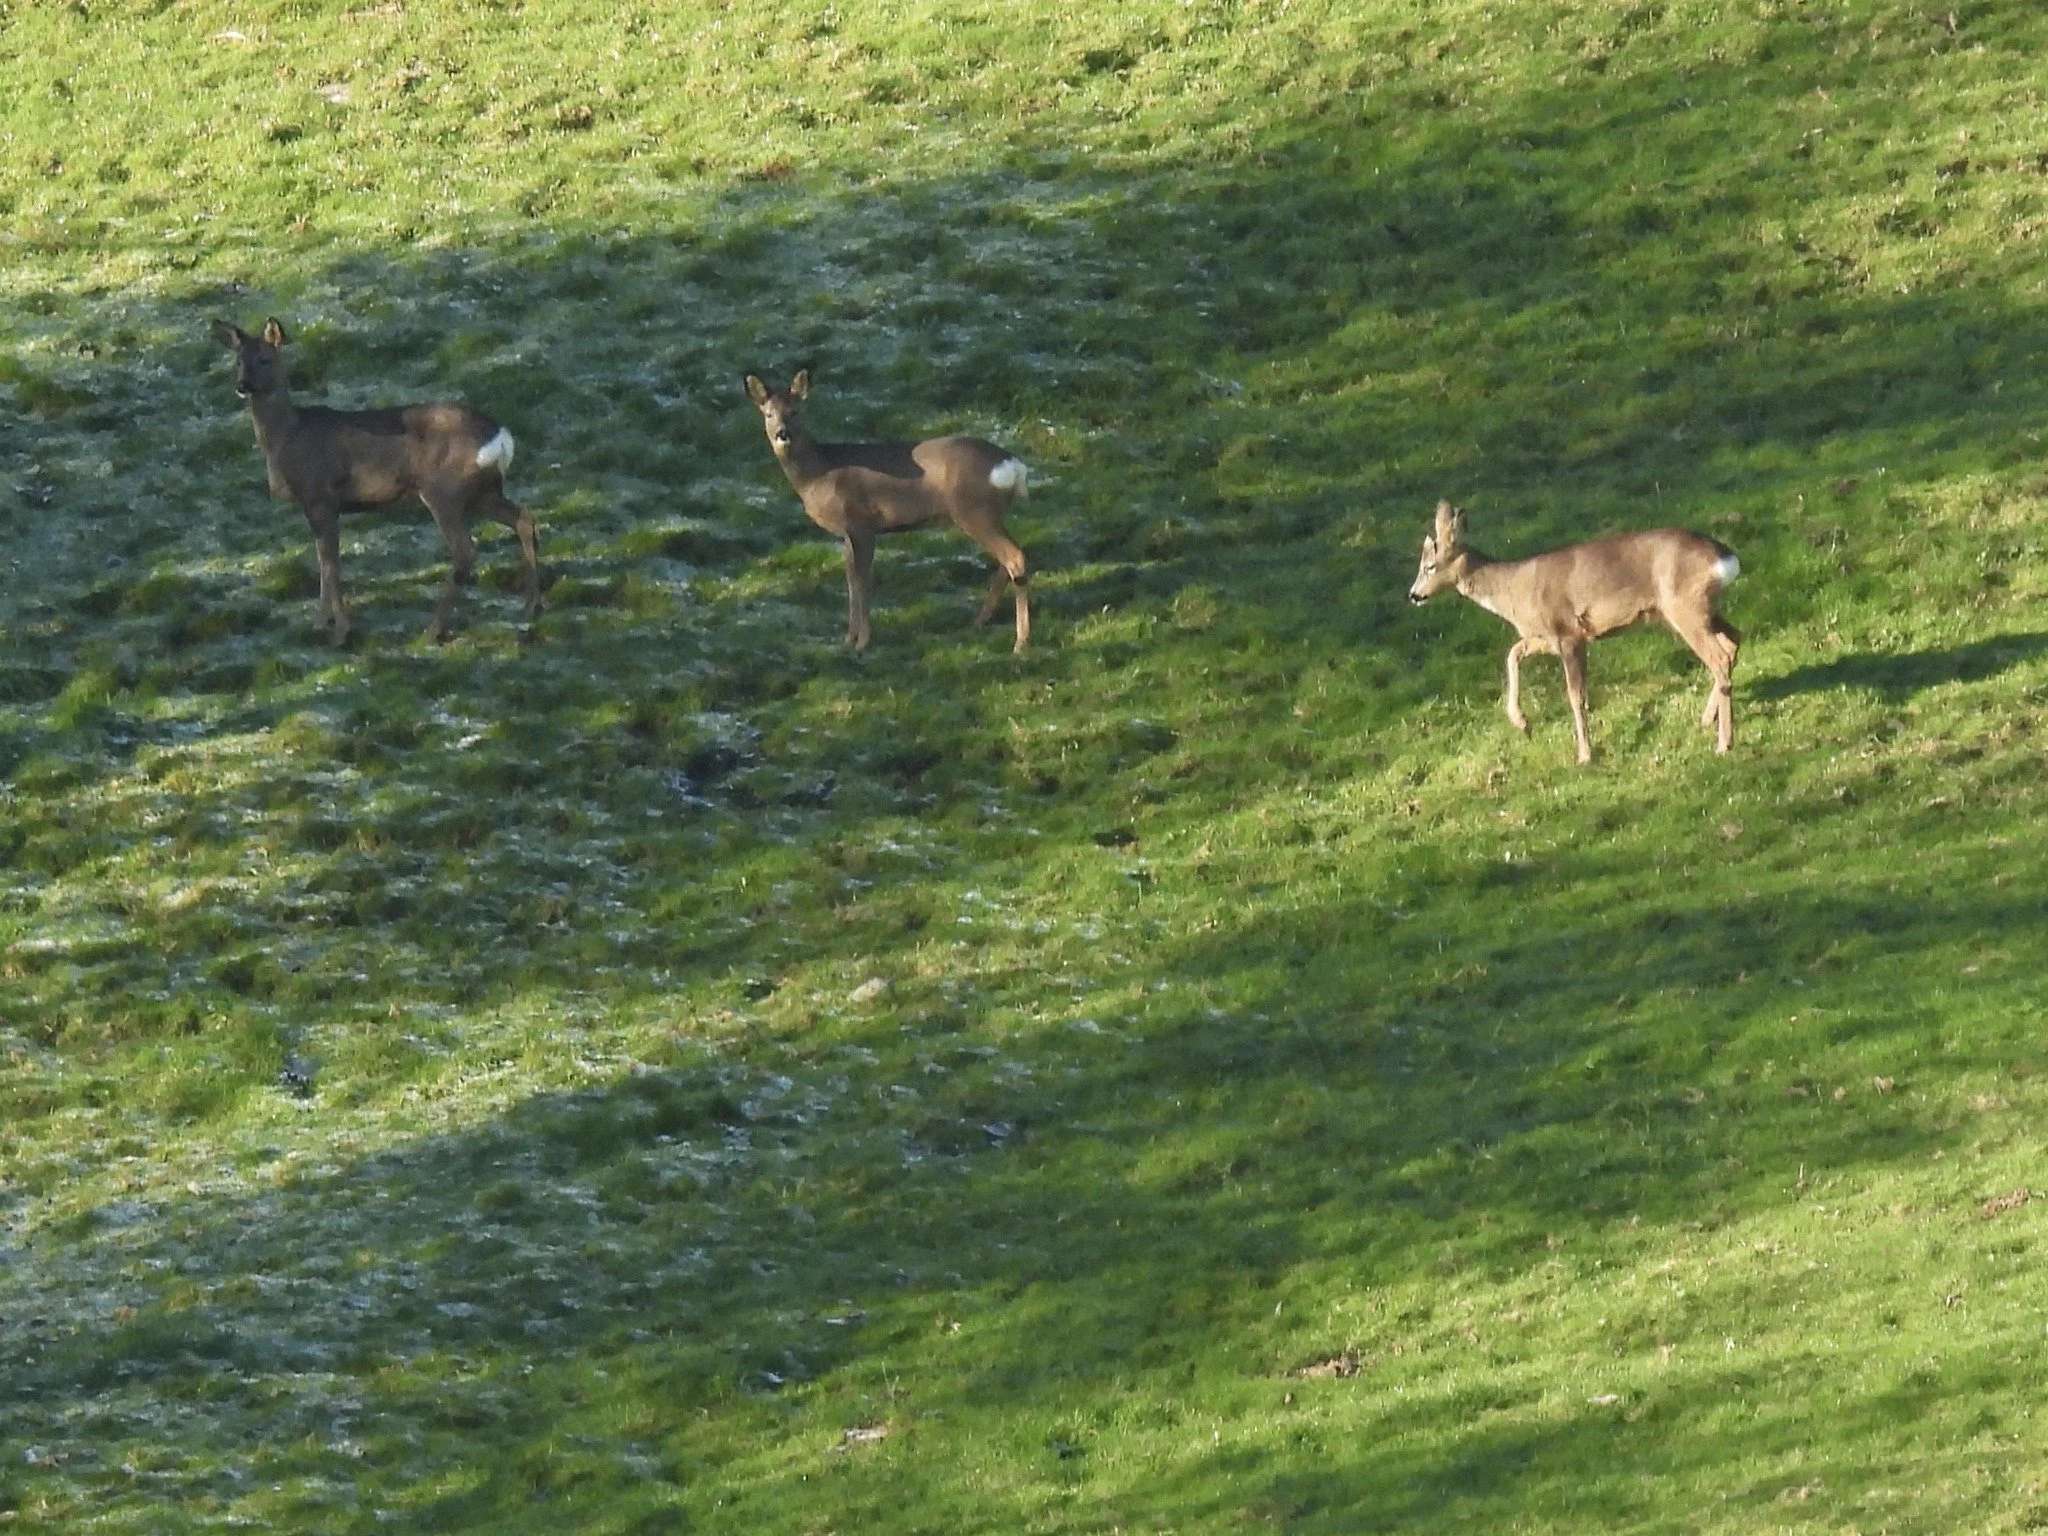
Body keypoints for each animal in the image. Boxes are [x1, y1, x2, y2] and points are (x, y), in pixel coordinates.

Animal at [211, 317, 541, 646]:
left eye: (265, 359)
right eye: (238, 361)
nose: (242, 386)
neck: (286, 438)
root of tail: (500, 436)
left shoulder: (320, 495)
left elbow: (330, 564)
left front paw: (340, 632)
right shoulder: (319, 505)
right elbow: (322, 562)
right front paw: (320, 624)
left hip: (443, 489)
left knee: (465, 550)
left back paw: (434, 628)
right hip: (484, 491)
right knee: (524, 519)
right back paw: (531, 608)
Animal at [742, 369, 1032, 652]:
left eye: (795, 411)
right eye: (768, 413)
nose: (782, 433)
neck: (819, 474)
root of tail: (1014, 465)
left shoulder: (861, 522)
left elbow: (862, 580)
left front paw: (863, 642)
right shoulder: (849, 532)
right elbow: (851, 579)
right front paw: (849, 638)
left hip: (972, 509)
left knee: (1014, 556)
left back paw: (1020, 642)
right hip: (987, 512)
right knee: (1008, 558)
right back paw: (980, 621)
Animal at [1407, 500, 1741, 765]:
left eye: (1430, 566)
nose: (1413, 595)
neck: (1512, 590)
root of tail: (1727, 559)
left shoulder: (1568, 633)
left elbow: (1575, 695)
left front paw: (1584, 755)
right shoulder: (1546, 637)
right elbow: (1513, 654)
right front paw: (1521, 722)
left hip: (1685, 607)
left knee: (1719, 657)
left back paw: (1723, 743)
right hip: (1699, 610)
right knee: (1733, 640)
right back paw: (1706, 720)